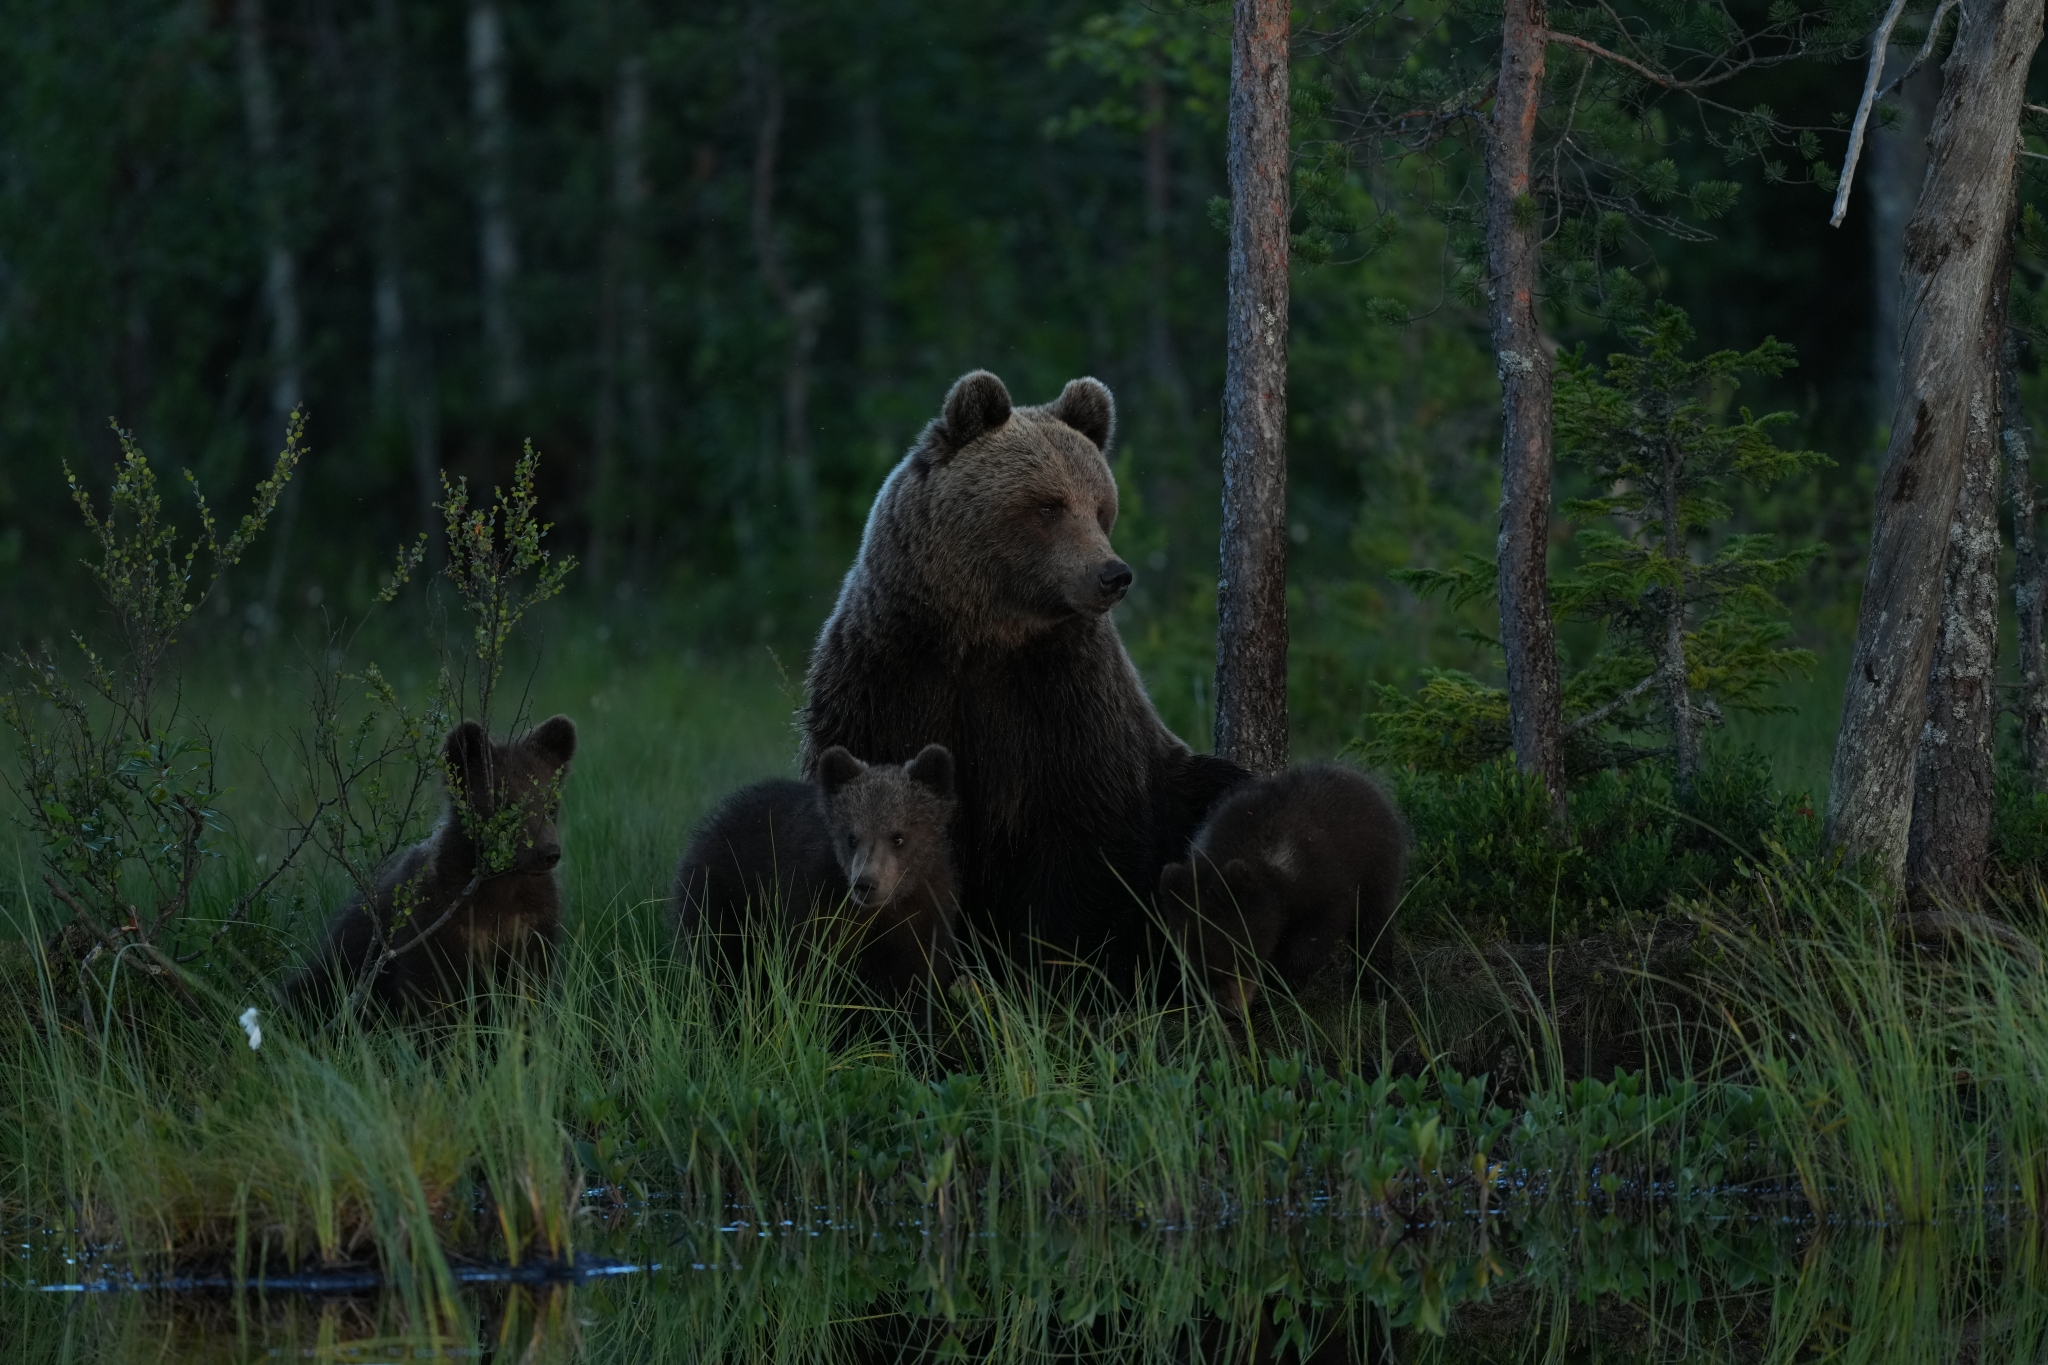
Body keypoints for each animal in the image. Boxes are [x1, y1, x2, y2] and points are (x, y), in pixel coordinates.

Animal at [283, 714, 577, 1019]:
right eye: (508, 805)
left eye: (551, 803)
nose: (549, 853)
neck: (499, 882)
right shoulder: (434, 922)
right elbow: (428, 994)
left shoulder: (531, 924)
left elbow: (527, 989)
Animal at [1157, 762, 1407, 1014]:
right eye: (1196, 970)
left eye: (1233, 963)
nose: (1229, 1010)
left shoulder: (1322, 880)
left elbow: (1316, 932)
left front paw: (1278, 982)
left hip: (1376, 863)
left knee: (1374, 922)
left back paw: (1374, 986)